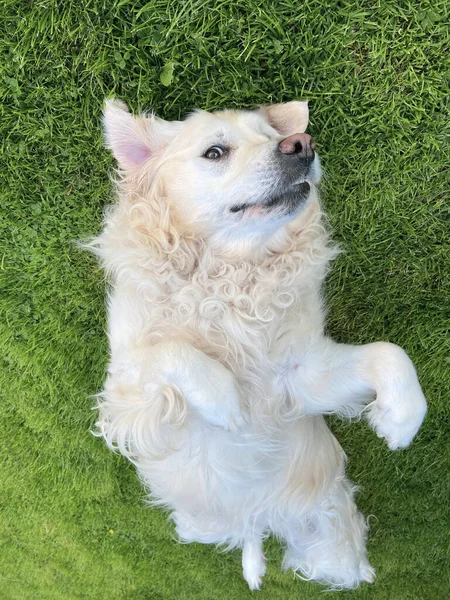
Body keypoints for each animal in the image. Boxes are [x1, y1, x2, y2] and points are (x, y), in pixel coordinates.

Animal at [89, 99, 428, 592]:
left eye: (271, 136)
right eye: (214, 152)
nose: (301, 145)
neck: (233, 281)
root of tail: (260, 515)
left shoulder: (301, 379)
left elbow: (390, 353)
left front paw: (401, 419)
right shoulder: (125, 396)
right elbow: (168, 352)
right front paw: (224, 399)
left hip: (329, 543)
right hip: (193, 522)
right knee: (236, 533)